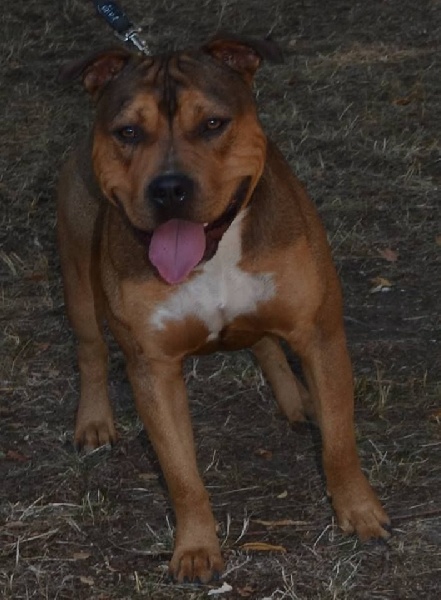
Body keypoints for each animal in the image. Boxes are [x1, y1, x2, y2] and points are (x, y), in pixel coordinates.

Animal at [57, 34, 390, 584]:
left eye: (212, 123)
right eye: (128, 132)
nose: (169, 188)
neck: (215, 252)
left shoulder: (320, 335)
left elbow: (341, 444)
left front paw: (360, 512)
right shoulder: (153, 368)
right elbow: (181, 474)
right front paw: (195, 548)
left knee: (265, 342)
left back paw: (299, 400)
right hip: (78, 282)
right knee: (90, 351)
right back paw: (95, 420)